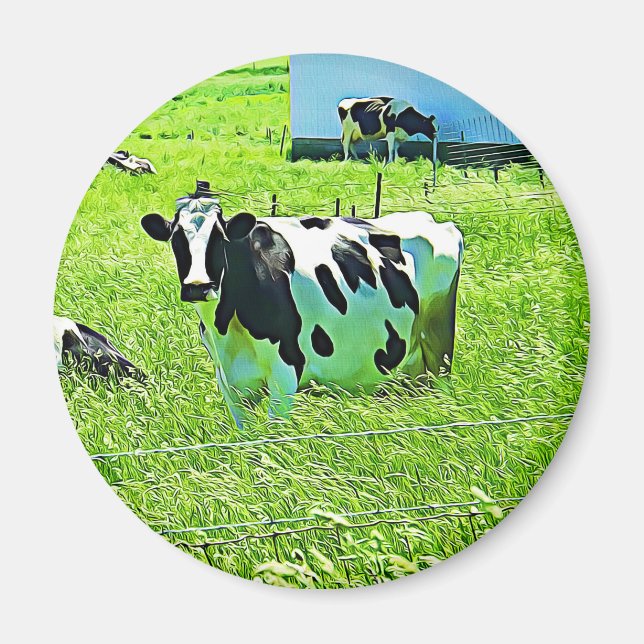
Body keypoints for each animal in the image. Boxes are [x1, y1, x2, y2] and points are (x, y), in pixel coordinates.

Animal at [141, 181, 463, 429]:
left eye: (219, 238)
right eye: (176, 238)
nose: (198, 286)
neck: (226, 327)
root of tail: (435, 220)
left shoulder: (285, 374)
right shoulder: (230, 383)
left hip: (439, 351)